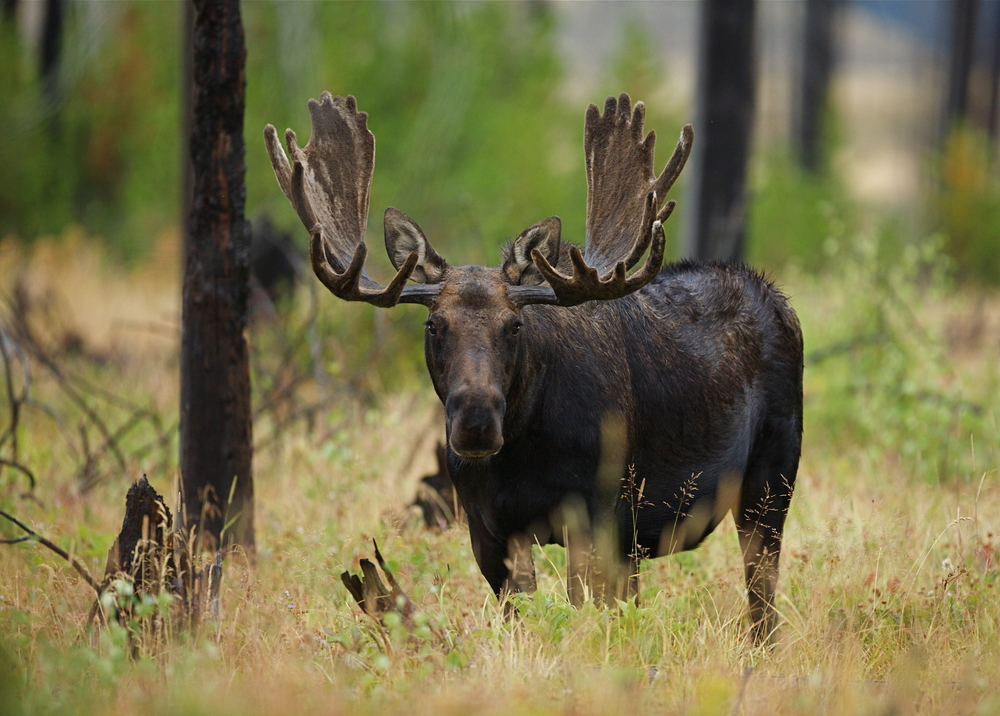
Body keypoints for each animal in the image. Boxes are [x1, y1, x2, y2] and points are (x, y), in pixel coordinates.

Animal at [264, 92, 803, 643]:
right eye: (434, 325)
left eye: (515, 325)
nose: (476, 422)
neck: (521, 453)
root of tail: (778, 298)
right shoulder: (490, 528)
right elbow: (521, 615)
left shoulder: (591, 512)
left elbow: (581, 609)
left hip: (771, 478)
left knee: (762, 593)